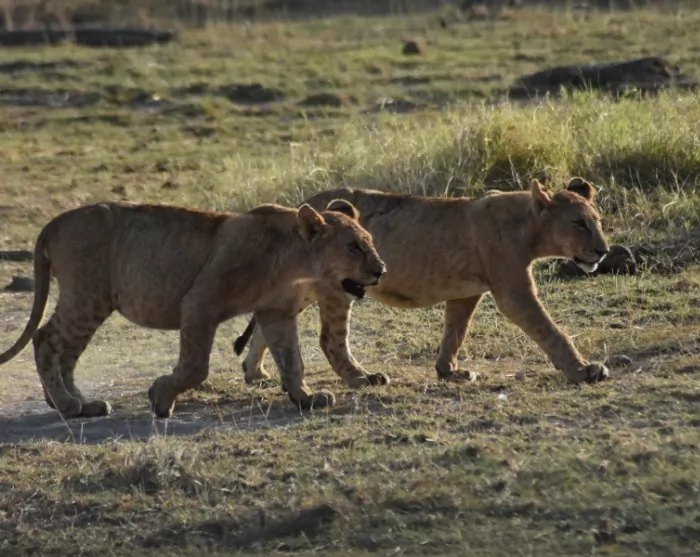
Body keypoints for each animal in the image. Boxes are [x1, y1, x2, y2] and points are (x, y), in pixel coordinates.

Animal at [0, 199, 385, 419]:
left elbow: (292, 361)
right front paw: (160, 397)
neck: (296, 263)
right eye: (353, 246)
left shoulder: (277, 314)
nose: (380, 270)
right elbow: (196, 367)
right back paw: (66, 405)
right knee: (44, 338)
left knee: (66, 351)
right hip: (88, 295)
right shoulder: (199, 302)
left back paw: (79, 404)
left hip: (91, 301)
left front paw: (305, 398)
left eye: (370, 242)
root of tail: (54, 223)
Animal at [235, 178, 611, 389]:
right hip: (337, 286)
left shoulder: (468, 292)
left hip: (301, 288)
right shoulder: (513, 290)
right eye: (579, 223)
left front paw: (449, 371)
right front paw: (583, 370)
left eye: (597, 220)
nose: (604, 250)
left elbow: (455, 330)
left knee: (266, 325)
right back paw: (362, 379)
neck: (530, 226)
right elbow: (549, 329)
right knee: (330, 340)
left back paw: (255, 373)